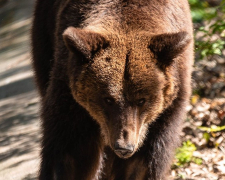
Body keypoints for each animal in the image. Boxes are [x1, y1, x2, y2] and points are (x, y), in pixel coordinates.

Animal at [31, 0, 193, 179]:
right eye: (107, 99)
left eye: (142, 100)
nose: (123, 147)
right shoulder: (71, 97)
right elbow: (71, 154)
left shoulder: (166, 111)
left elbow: (142, 163)